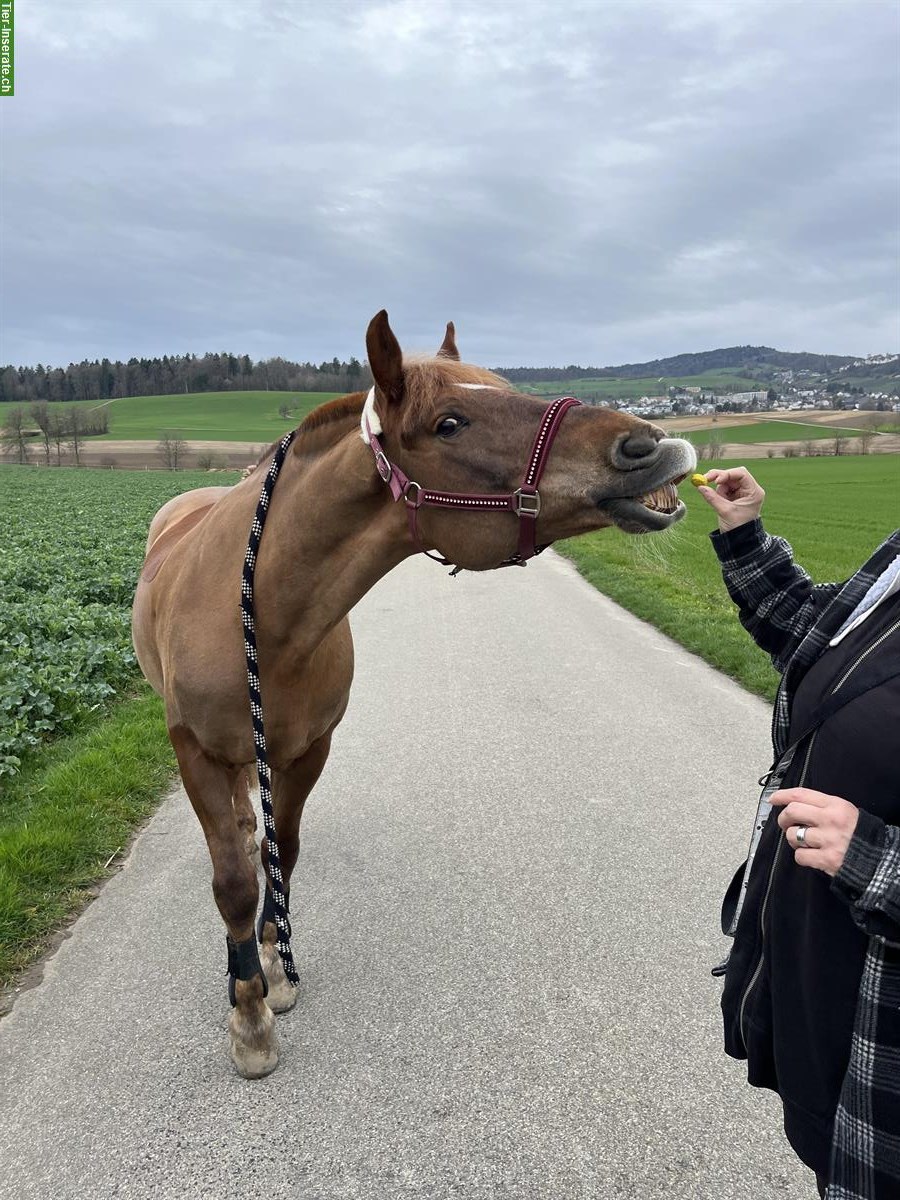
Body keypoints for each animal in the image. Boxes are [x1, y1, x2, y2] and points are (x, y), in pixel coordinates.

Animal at [132, 309, 696, 1080]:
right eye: (449, 422)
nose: (650, 447)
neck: (263, 613)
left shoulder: (309, 750)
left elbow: (286, 852)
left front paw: (274, 967)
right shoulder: (193, 751)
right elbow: (234, 886)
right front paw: (248, 1015)